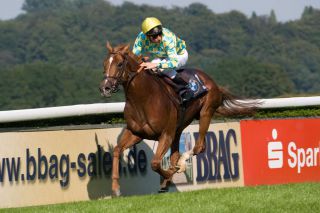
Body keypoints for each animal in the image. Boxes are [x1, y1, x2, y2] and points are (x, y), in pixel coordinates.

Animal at [99, 42, 256, 196]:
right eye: (105, 63)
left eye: (120, 64)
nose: (105, 88)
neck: (144, 99)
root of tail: (211, 81)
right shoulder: (135, 133)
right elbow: (117, 150)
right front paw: (115, 188)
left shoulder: (165, 134)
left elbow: (155, 163)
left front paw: (170, 172)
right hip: (179, 128)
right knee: (184, 151)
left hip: (205, 113)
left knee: (198, 147)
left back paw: (180, 165)